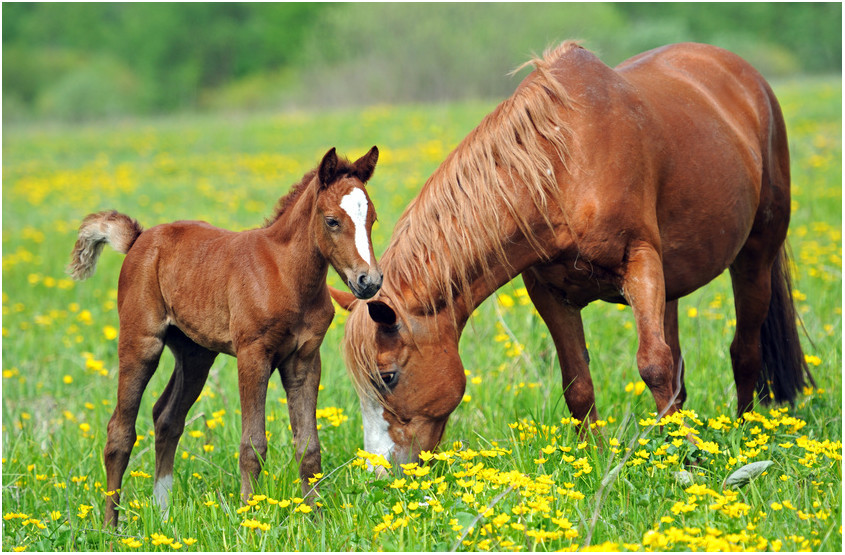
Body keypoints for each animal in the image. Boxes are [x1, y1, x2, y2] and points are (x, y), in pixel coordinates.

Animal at [332, 43, 816, 466]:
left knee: (744, 351)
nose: (380, 471)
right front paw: (595, 459)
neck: (564, 166)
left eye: (388, 377)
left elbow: (653, 365)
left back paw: (746, 432)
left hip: (756, 255)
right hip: (674, 282)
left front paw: (687, 456)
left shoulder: (640, 261)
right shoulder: (550, 292)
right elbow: (578, 384)